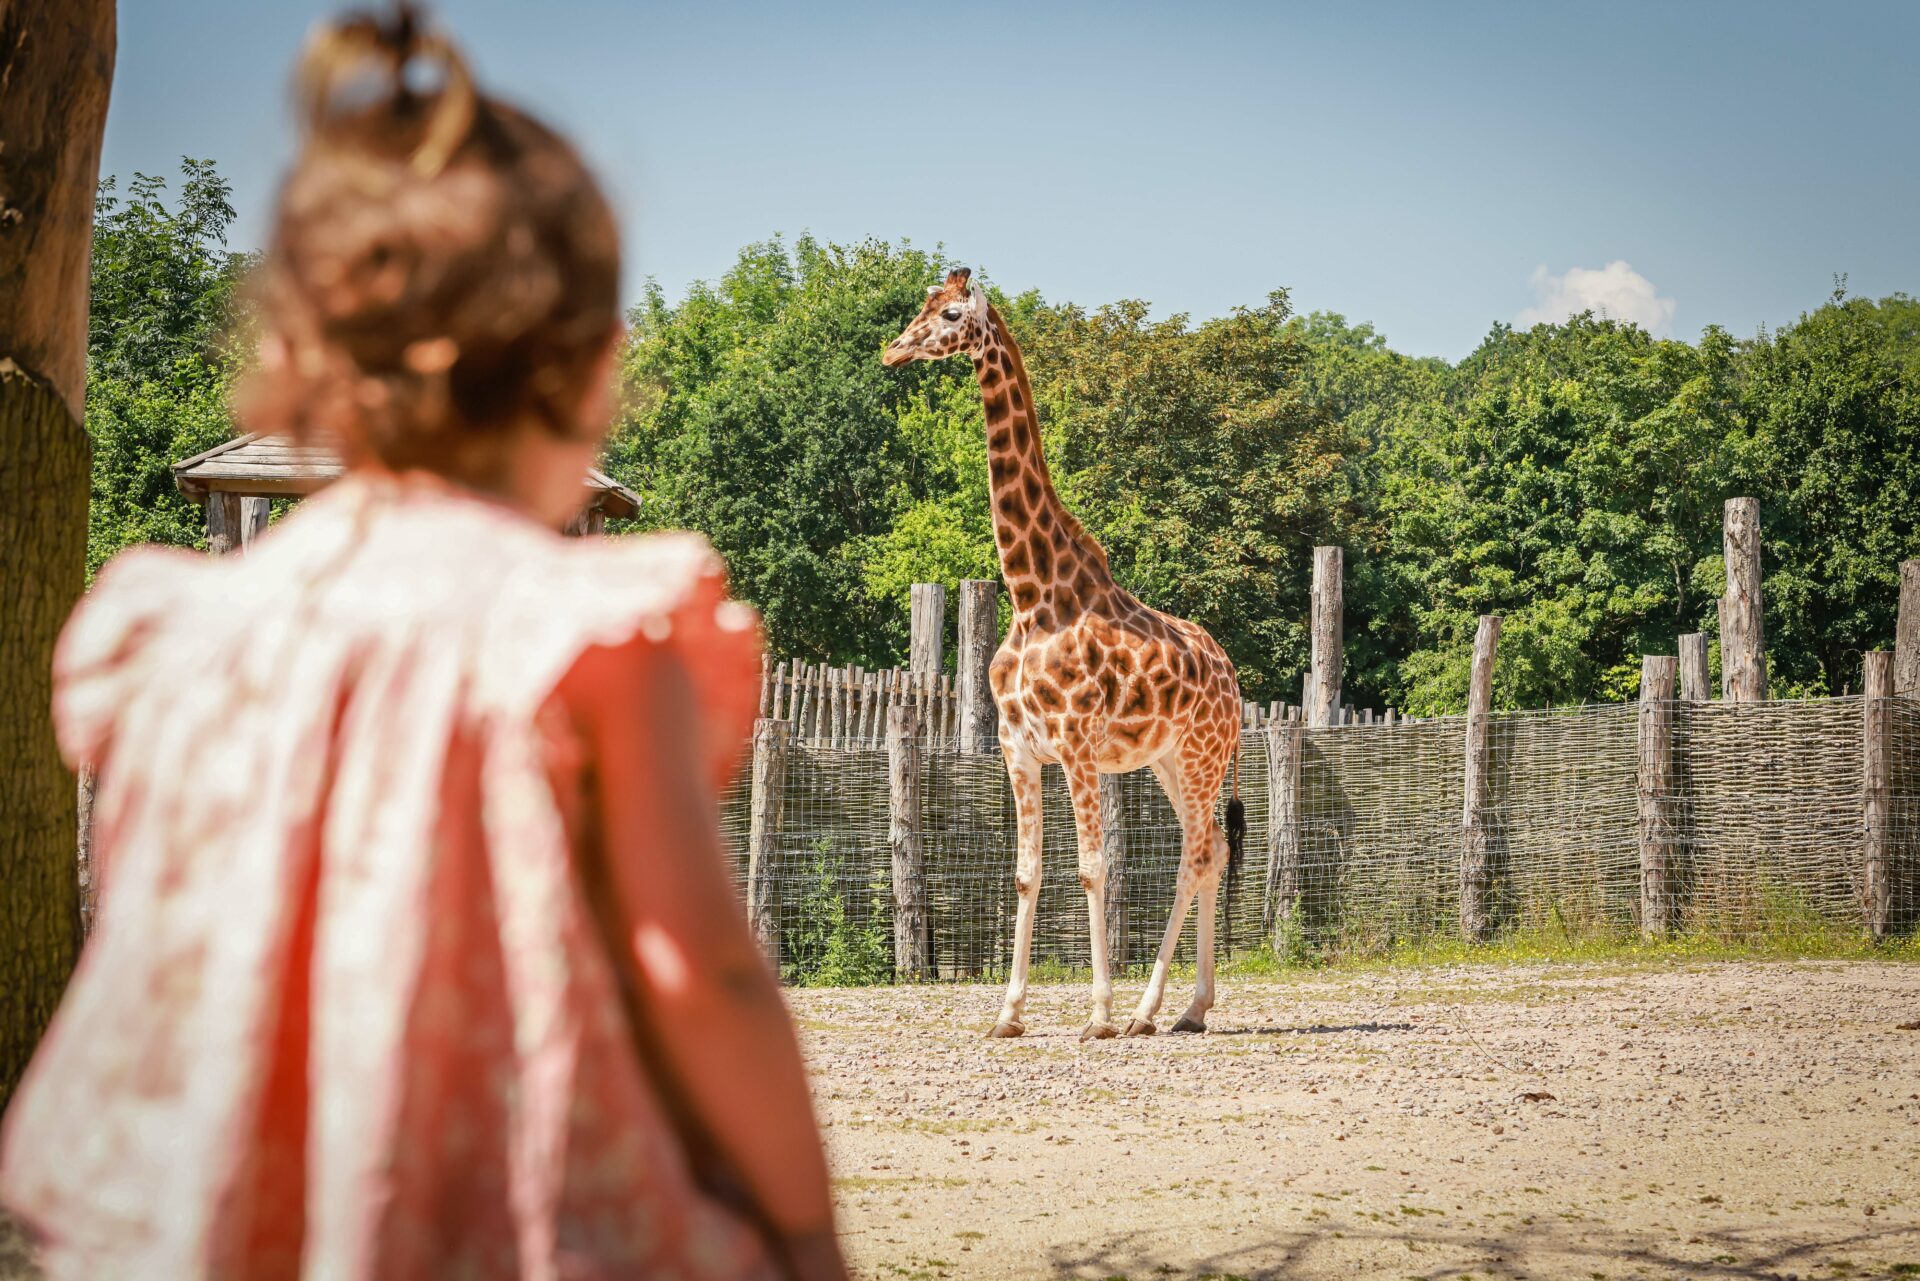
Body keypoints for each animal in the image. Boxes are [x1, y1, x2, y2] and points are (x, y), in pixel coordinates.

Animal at [879, 270, 1244, 1044]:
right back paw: (1188, 1008)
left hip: (1201, 756)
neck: (1030, 594)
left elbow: (1092, 868)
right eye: (923, 306)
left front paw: (1098, 1013)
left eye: (950, 315)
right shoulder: (1019, 749)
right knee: (1211, 852)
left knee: (1195, 857)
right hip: (1169, 761)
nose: (894, 352)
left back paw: (1145, 1011)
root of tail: (1234, 678)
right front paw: (1008, 1014)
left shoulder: (1077, 745)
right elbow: (1027, 872)